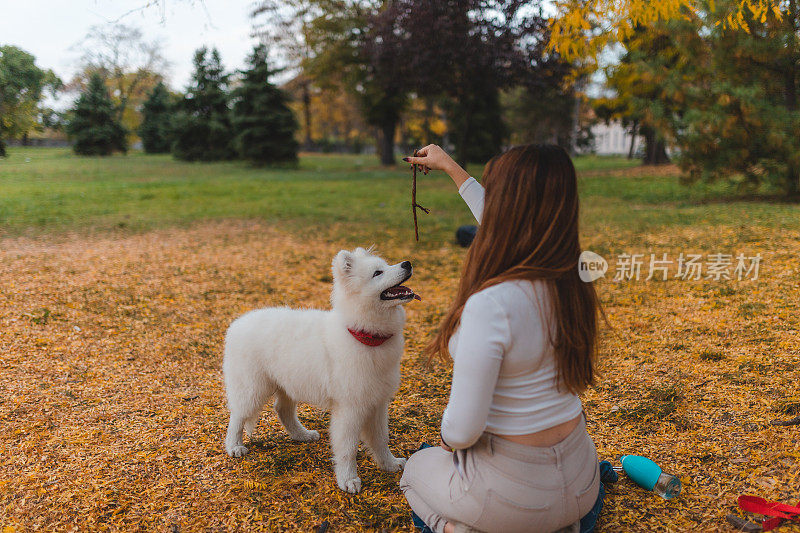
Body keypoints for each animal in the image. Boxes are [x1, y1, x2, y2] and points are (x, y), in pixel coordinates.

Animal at [222, 247, 422, 492]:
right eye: (378, 273)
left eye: (386, 265)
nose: (407, 263)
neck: (363, 335)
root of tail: (237, 324)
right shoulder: (350, 409)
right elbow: (347, 448)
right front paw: (348, 480)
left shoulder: (377, 403)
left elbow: (381, 439)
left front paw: (389, 464)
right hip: (253, 389)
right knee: (237, 416)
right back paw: (234, 446)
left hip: (288, 384)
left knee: (282, 410)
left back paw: (302, 435)